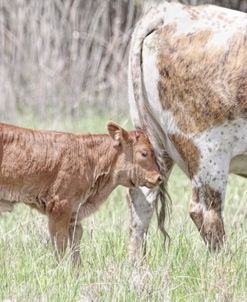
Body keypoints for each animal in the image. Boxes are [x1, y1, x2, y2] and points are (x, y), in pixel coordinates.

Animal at [0, 121, 162, 264]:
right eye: (144, 153)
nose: (159, 178)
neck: (91, 158)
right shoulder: (59, 208)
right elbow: (60, 246)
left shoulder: (74, 215)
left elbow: (75, 245)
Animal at [127, 1, 247, 260]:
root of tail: (174, 11)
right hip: (208, 152)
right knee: (205, 212)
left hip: (151, 142)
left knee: (141, 202)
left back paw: (136, 266)